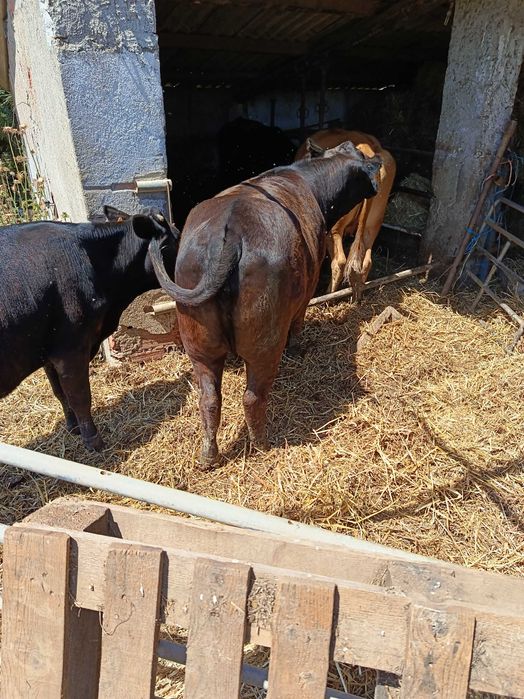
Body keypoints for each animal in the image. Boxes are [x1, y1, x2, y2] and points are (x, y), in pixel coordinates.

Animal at [0, 207, 179, 451]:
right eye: (176, 240)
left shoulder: (48, 352)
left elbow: (60, 392)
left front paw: (72, 427)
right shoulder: (71, 348)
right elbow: (80, 396)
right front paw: (94, 441)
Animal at [145, 140, 381, 467]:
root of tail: (231, 232)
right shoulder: (307, 288)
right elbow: (299, 321)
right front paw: (299, 348)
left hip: (199, 341)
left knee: (209, 399)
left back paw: (208, 456)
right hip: (264, 343)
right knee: (252, 397)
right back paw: (261, 444)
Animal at [295, 129, 396, 300]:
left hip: (334, 227)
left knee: (339, 261)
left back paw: (329, 295)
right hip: (373, 224)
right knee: (366, 261)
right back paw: (356, 296)